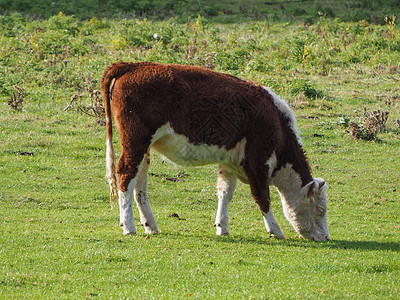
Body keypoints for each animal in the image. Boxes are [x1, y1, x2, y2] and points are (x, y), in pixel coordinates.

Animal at [101, 61, 332, 241]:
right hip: (135, 141)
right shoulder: (257, 162)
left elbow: (225, 193)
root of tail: (133, 65)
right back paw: (129, 227)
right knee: (125, 174)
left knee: (139, 183)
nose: (326, 237)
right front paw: (275, 230)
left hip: (143, 149)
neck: (276, 124)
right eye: (320, 210)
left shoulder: (229, 163)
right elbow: (262, 196)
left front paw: (222, 227)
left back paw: (150, 225)